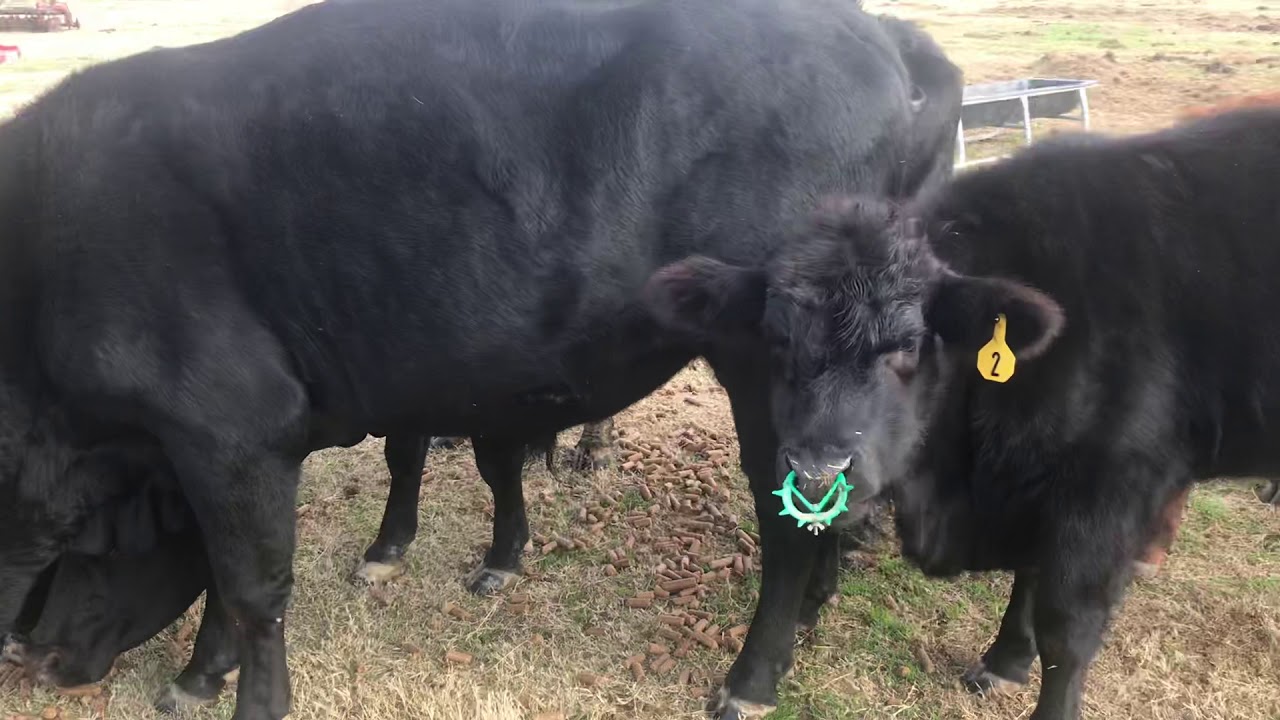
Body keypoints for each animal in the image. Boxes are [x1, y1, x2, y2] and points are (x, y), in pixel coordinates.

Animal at [0, 1, 962, 718]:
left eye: (73, 542)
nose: (39, 659)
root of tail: (880, 32)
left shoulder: (229, 428)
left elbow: (249, 582)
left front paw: (234, 689)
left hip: (778, 369)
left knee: (788, 521)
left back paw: (752, 679)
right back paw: (812, 616)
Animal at [648, 106, 1280, 719]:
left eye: (908, 344)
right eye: (777, 338)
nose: (817, 473)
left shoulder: (1106, 488)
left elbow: (1067, 630)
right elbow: (1031, 580)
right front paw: (1007, 661)